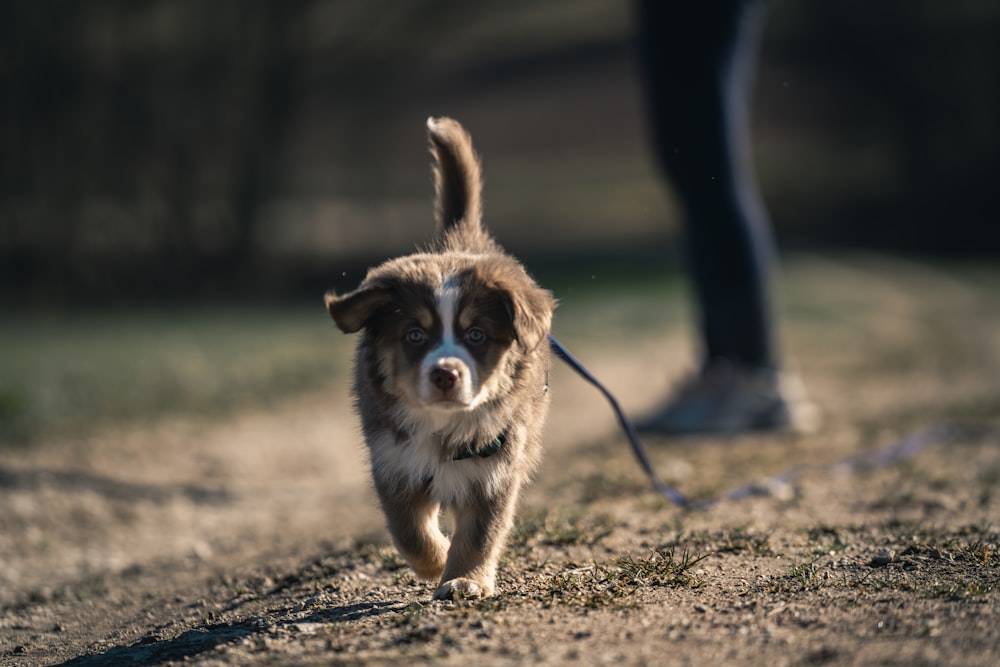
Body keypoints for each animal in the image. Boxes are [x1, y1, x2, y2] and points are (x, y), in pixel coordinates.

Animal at [324, 116, 556, 600]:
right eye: (415, 335)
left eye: (476, 334)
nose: (446, 374)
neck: (441, 427)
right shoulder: (393, 461)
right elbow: (409, 530)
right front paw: (435, 563)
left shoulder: (496, 467)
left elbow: (480, 533)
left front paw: (465, 579)